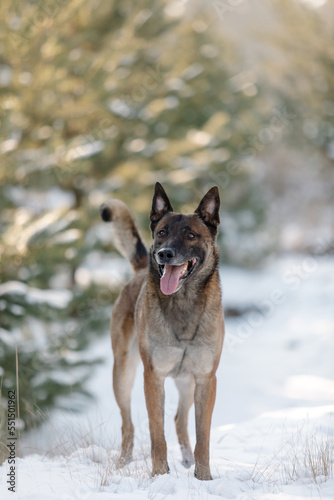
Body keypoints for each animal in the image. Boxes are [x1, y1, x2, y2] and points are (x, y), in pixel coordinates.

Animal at [99, 183, 224, 480]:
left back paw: (188, 460)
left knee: (179, 419)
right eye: (162, 233)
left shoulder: (205, 380)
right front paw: (159, 475)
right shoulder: (153, 377)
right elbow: (157, 434)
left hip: (187, 382)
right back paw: (123, 463)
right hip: (123, 374)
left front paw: (203, 478)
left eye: (191, 235)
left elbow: (203, 436)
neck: (184, 303)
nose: (164, 254)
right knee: (128, 425)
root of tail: (140, 270)